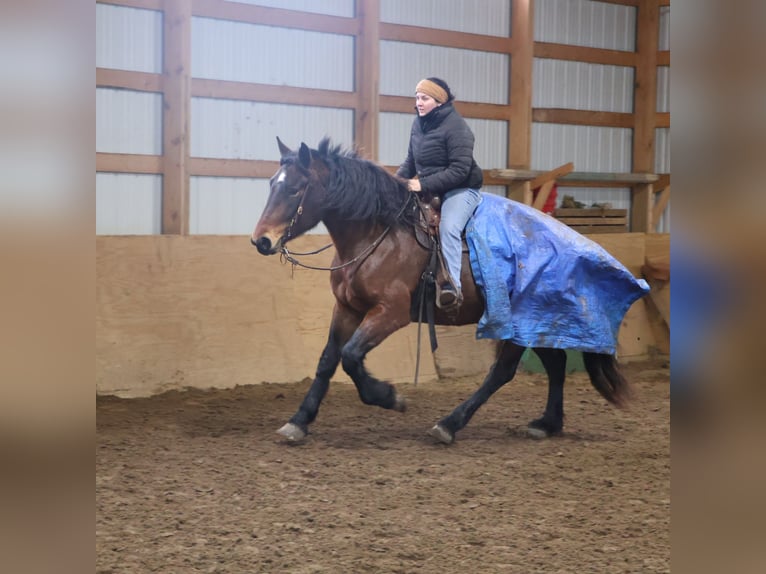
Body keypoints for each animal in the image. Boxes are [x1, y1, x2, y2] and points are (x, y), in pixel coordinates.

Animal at [251, 137, 636, 444]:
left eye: (295, 188)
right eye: (271, 183)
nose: (261, 241)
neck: (379, 234)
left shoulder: (390, 313)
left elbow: (351, 356)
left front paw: (390, 397)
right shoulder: (347, 308)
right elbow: (328, 360)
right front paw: (299, 421)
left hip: (513, 323)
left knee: (502, 372)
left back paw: (449, 425)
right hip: (533, 322)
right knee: (554, 365)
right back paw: (547, 424)